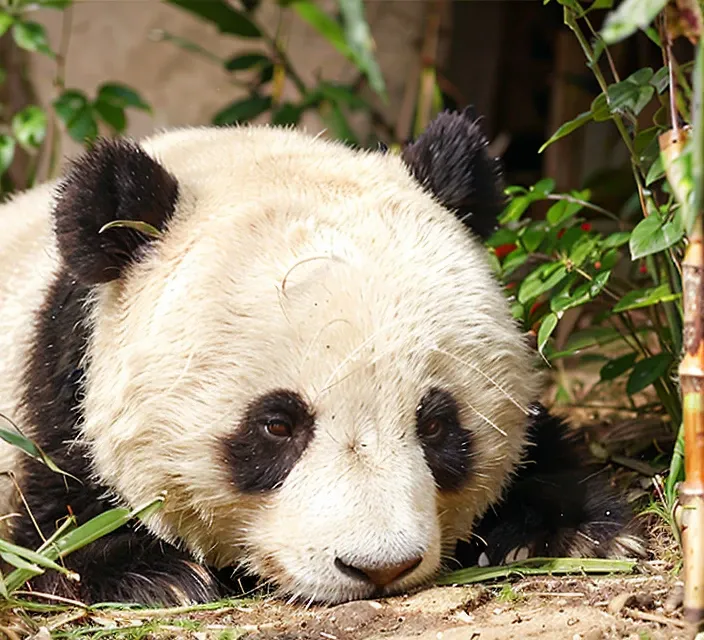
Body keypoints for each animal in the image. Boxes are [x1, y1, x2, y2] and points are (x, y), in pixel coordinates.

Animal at [0, 110, 644, 604]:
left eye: (437, 423)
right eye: (277, 425)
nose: (381, 566)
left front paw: (573, 533)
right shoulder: (57, 393)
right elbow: (52, 526)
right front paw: (158, 577)